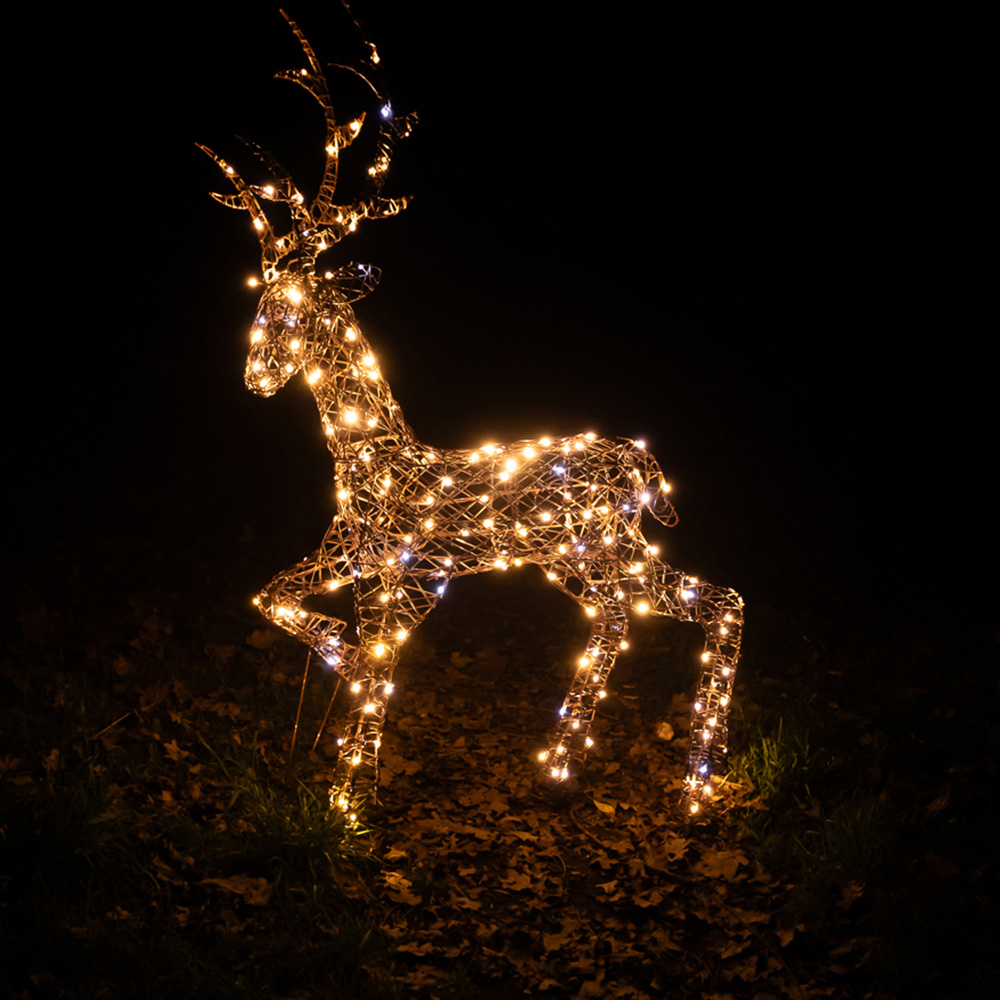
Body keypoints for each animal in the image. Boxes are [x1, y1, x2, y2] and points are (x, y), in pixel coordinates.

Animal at [200, 8, 743, 820]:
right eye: (260, 300)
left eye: (302, 305)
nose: (255, 377)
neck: (373, 462)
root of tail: (642, 464)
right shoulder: (349, 555)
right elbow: (275, 599)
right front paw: (340, 690)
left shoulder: (410, 577)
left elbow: (378, 665)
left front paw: (349, 801)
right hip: (584, 556)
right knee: (649, 613)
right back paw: (599, 772)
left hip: (598, 546)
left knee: (696, 606)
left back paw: (672, 780)